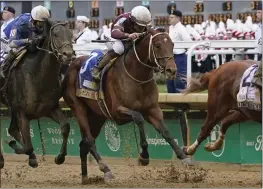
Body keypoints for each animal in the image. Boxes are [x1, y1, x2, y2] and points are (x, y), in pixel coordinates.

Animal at [0, 19, 74, 169]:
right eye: (56, 34)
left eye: (71, 35)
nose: (68, 54)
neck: (37, 76)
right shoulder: (21, 112)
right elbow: (28, 147)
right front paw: (32, 158)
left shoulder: (50, 108)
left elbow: (65, 127)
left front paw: (60, 157)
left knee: (12, 130)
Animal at [63, 28, 193, 185]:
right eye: (157, 45)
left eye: (173, 44)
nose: (171, 70)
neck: (137, 76)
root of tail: (72, 63)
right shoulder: (117, 111)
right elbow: (138, 118)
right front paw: (144, 156)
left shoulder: (153, 110)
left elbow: (166, 132)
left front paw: (184, 157)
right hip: (78, 109)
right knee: (89, 141)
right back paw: (106, 170)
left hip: (96, 116)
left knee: (84, 145)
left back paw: (85, 178)